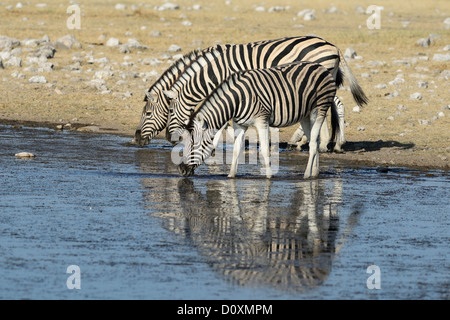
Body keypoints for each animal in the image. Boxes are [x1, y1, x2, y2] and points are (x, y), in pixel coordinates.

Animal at [135, 35, 368, 151]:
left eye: (147, 114)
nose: (136, 138)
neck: (213, 72)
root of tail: (334, 47)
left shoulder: (230, 89)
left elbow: (224, 119)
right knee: (334, 105)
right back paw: (329, 143)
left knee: (332, 106)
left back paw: (316, 142)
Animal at [178, 61, 340, 179]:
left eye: (195, 144)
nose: (181, 169)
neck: (237, 100)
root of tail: (321, 67)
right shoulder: (239, 125)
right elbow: (236, 150)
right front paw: (231, 176)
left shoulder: (262, 121)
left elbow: (264, 150)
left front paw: (269, 177)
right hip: (305, 116)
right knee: (315, 141)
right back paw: (315, 173)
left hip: (319, 109)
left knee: (313, 143)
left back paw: (306, 176)